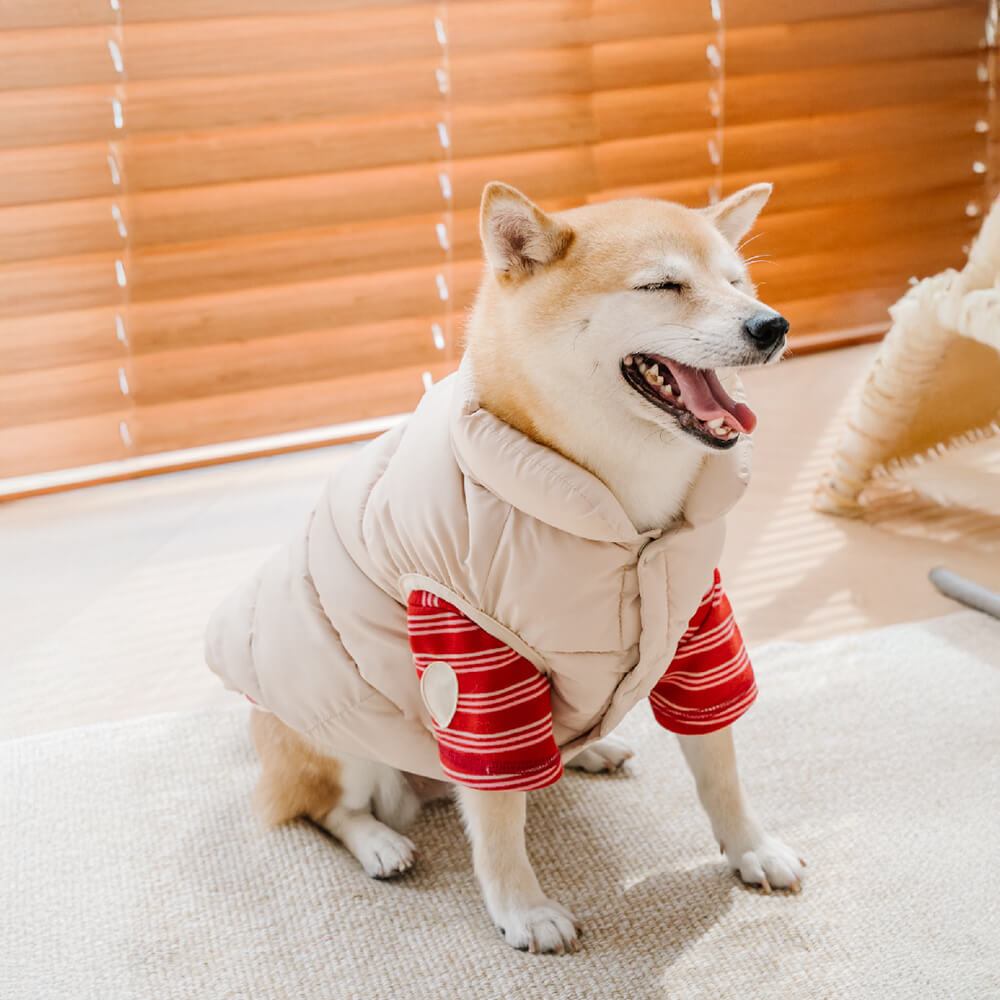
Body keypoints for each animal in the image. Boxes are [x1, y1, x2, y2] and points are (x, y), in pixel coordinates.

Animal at [213, 180, 804, 952]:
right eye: (662, 285)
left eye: (737, 283)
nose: (773, 325)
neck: (620, 521)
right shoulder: (467, 652)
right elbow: (498, 818)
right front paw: (523, 909)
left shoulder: (693, 621)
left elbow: (720, 770)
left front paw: (750, 848)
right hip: (335, 736)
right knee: (323, 807)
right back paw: (380, 842)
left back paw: (586, 750)